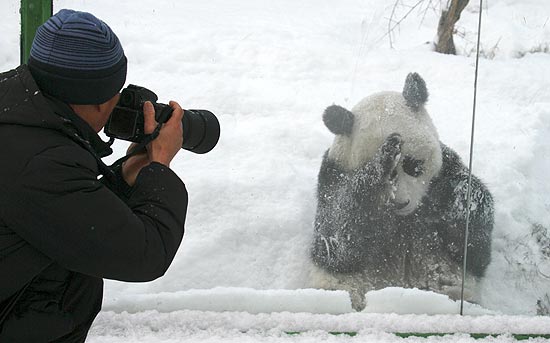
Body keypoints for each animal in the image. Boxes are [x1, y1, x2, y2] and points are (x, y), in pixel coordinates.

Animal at [310, 72, 496, 312]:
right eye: (390, 174)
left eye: (412, 164)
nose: (400, 203)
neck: (403, 219)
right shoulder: (332, 178)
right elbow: (338, 241)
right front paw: (383, 158)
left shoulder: (447, 170)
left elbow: (473, 250)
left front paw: (459, 204)